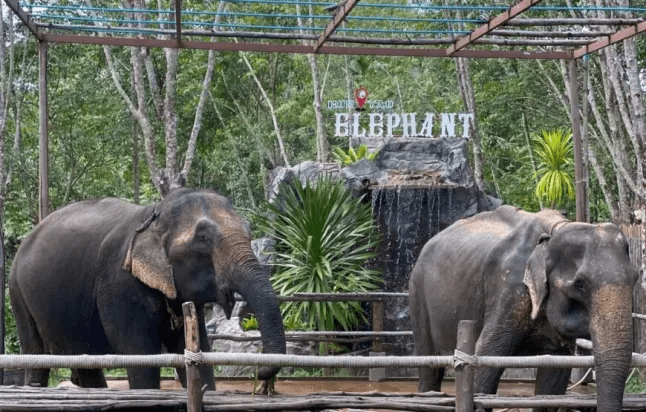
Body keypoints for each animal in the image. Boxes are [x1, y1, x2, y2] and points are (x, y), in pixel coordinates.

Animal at [8, 189, 288, 390]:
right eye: (203, 238)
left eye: (249, 231)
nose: (259, 373)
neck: (154, 213)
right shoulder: (119, 283)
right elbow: (140, 354)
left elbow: (196, 348)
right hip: (18, 293)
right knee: (35, 352)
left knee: (85, 363)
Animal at [412, 206, 640, 412]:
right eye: (580, 284)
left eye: (636, 278)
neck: (556, 230)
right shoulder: (509, 290)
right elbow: (484, 361)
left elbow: (553, 380)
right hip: (418, 295)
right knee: (429, 369)